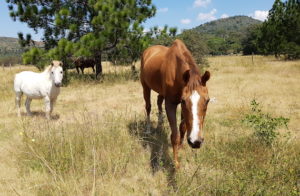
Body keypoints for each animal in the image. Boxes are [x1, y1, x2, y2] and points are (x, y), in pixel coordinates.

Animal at [141, 39, 211, 168]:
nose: (195, 142)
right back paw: (148, 130)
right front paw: (176, 163)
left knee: (158, 102)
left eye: (207, 100)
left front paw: (181, 147)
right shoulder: (171, 104)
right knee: (148, 107)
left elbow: (182, 128)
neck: (175, 70)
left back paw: (160, 123)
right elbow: (174, 135)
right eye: (183, 101)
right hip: (145, 86)